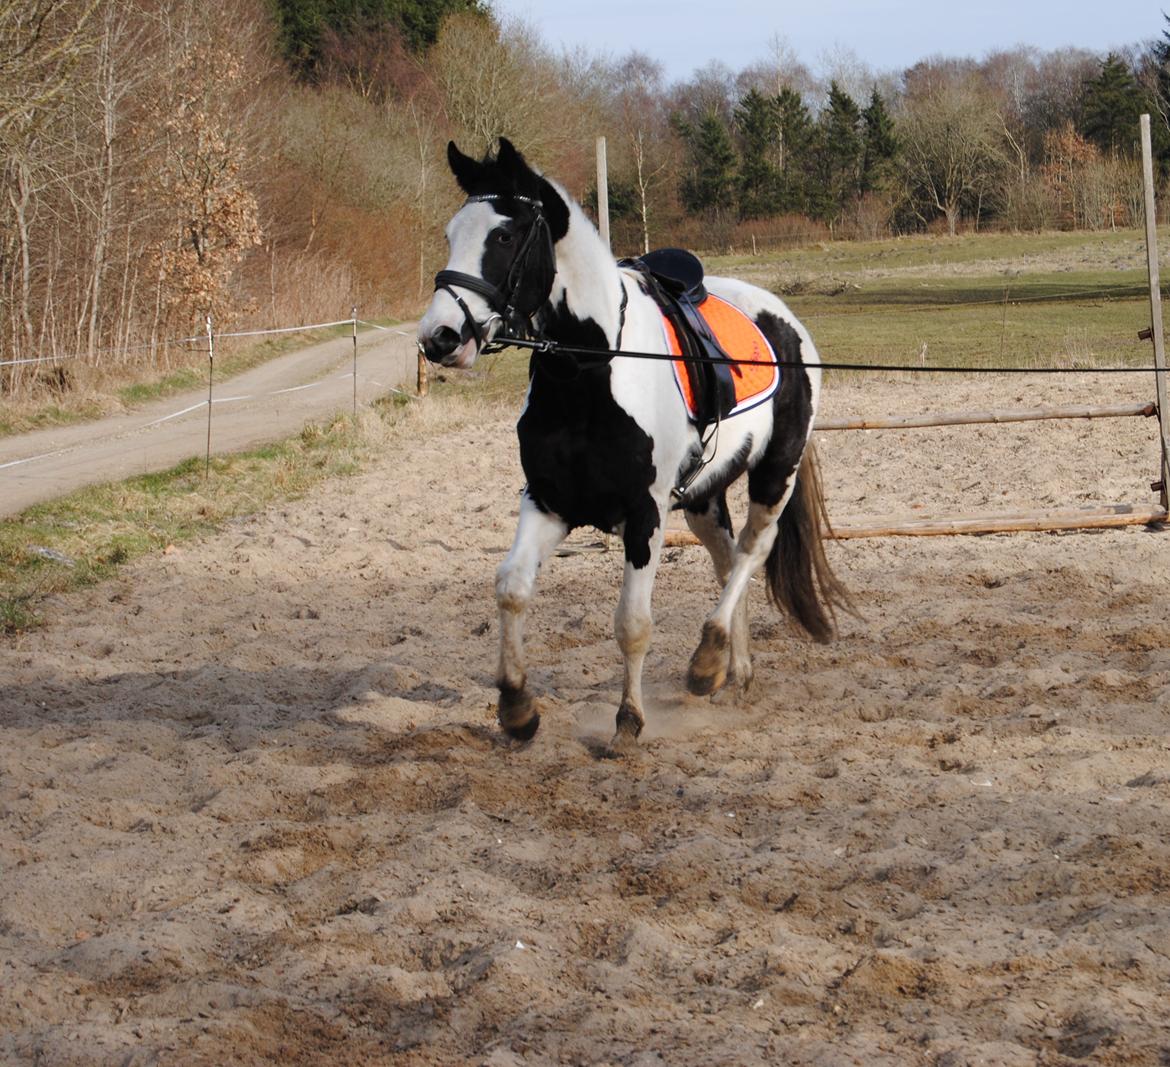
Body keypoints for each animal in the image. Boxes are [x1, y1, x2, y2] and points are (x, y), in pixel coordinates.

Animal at [416, 139, 847, 748]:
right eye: (452, 233)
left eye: (503, 236)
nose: (439, 338)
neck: (590, 374)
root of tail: (785, 320)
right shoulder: (547, 502)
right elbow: (512, 587)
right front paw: (517, 708)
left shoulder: (645, 515)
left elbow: (632, 624)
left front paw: (628, 721)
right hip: (702, 496)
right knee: (726, 559)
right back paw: (730, 669)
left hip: (774, 474)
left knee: (751, 552)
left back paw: (707, 658)